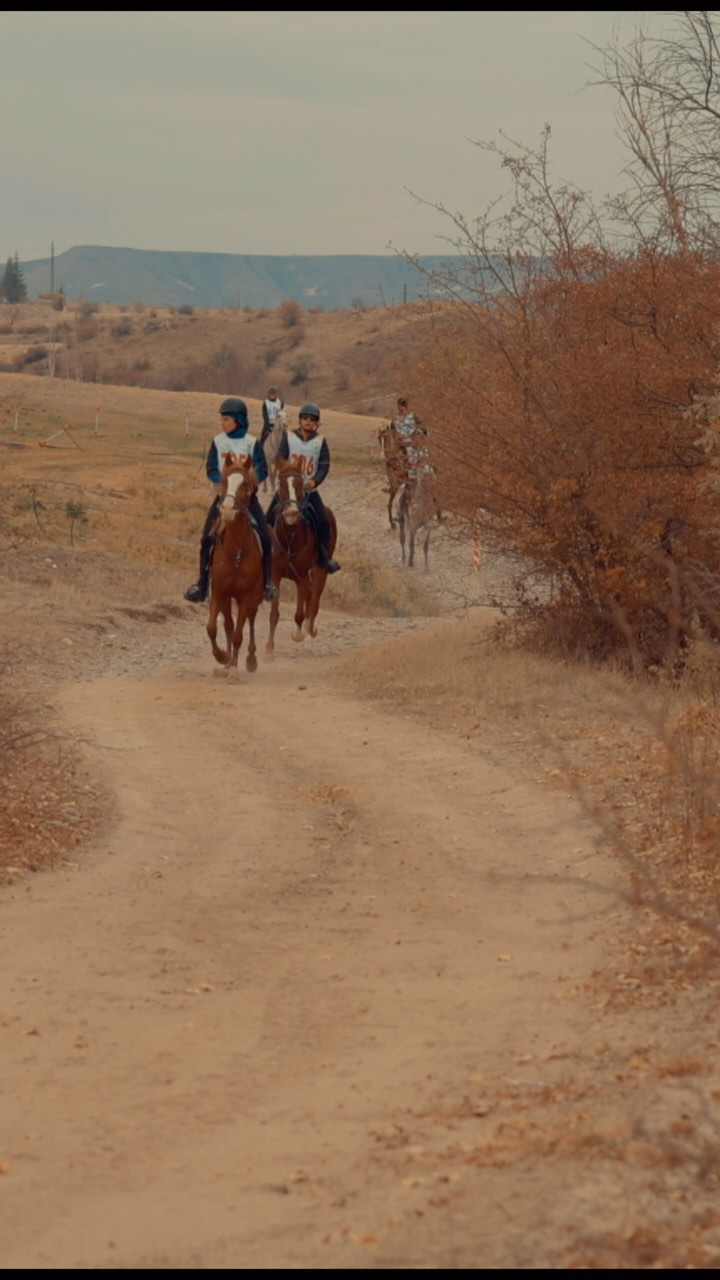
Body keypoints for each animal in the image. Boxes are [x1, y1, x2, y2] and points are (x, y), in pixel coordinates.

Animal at [204, 453, 263, 670]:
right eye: (224, 481)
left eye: (245, 483)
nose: (227, 510)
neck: (236, 551)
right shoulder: (219, 592)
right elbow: (213, 627)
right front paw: (222, 657)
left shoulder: (246, 596)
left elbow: (238, 633)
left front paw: (235, 668)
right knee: (228, 624)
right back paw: (229, 660)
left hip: (256, 596)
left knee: (250, 619)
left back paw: (250, 659)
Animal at [266, 463, 335, 655]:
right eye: (281, 485)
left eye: (298, 486)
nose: (291, 513)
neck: (290, 538)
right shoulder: (275, 574)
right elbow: (274, 614)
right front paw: (268, 649)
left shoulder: (302, 576)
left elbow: (300, 613)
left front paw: (299, 635)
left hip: (320, 570)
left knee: (314, 601)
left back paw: (310, 634)